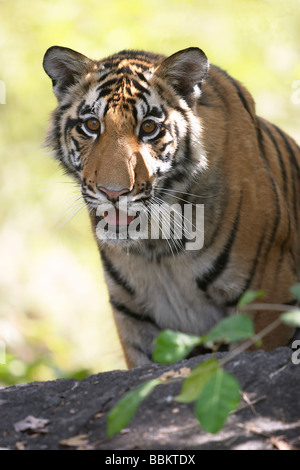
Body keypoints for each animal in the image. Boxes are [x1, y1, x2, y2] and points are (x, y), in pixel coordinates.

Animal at [42, 46, 300, 368]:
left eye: (149, 127)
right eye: (91, 125)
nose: (113, 193)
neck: (156, 247)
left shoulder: (266, 297)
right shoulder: (134, 316)